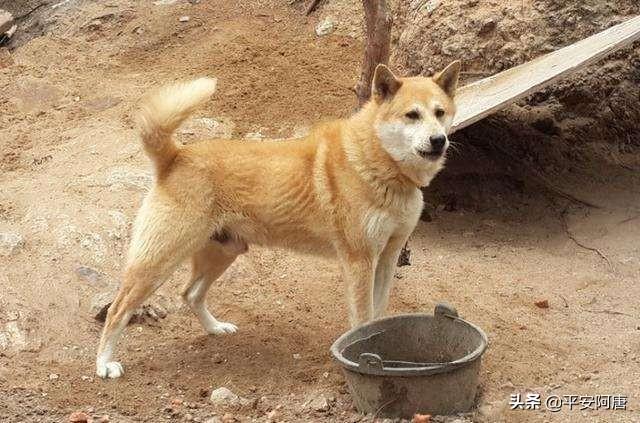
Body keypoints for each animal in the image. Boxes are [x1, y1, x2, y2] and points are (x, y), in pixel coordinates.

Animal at [95, 61, 460, 380]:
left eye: (440, 113)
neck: (378, 163)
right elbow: (362, 318)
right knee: (118, 310)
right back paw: (103, 365)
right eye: (412, 115)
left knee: (190, 294)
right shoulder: (360, 261)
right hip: (159, 261)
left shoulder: (386, 257)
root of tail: (175, 157)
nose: (438, 140)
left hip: (223, 251)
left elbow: (378, 316)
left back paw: (215, 329)